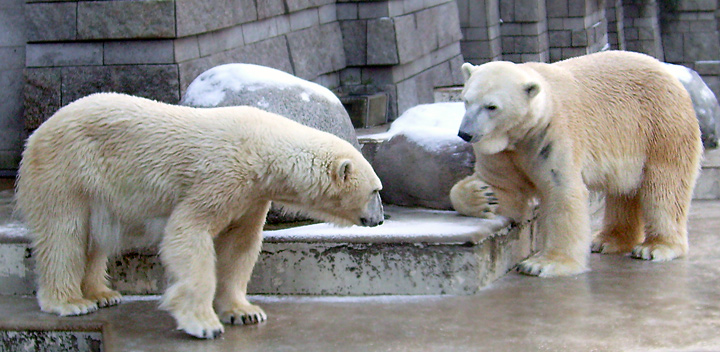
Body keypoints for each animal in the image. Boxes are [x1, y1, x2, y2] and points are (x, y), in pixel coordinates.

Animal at [14, 93, 386, 338]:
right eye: (375, 191)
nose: (380, 220)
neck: (263, 149)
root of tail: (37, 133)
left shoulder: (252, 196)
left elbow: (239, 246)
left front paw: (245, 312)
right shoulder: (223, 176)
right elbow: (189, 231)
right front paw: (203, 323)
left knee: (95, 239)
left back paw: (102, 294)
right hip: (67, 171)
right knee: (64, 233)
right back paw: (70, 302)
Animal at [456, 51, 704, 278]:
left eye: (491, 106)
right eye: (466, 100)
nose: (465, 133)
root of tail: (671, 75)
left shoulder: (552, 135)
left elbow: (562, 194)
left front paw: (544, 263)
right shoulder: (505, 151)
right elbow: (504, 188)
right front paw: (483, 195)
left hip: (661, 127)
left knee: (664, 188)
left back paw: (656, 247)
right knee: (623, 191)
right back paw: (607, 240)